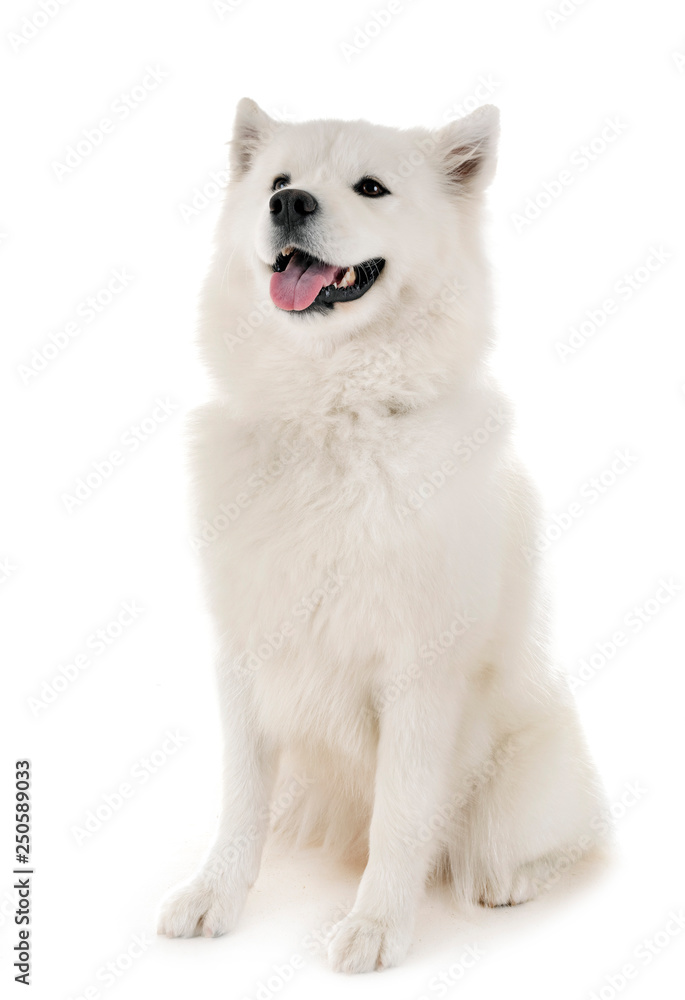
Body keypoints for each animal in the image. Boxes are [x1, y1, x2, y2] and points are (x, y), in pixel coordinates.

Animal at [158, 97, 608, 972]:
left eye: (370, 187)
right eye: (279, 179)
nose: (289, 204)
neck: (330, 418)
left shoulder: (419, 672)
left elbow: (400, 817)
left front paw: (374, 928)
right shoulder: (244, 653)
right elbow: (239, 803)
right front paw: (214, 897)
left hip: (521, 784)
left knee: (559, 841)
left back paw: (508, 881)